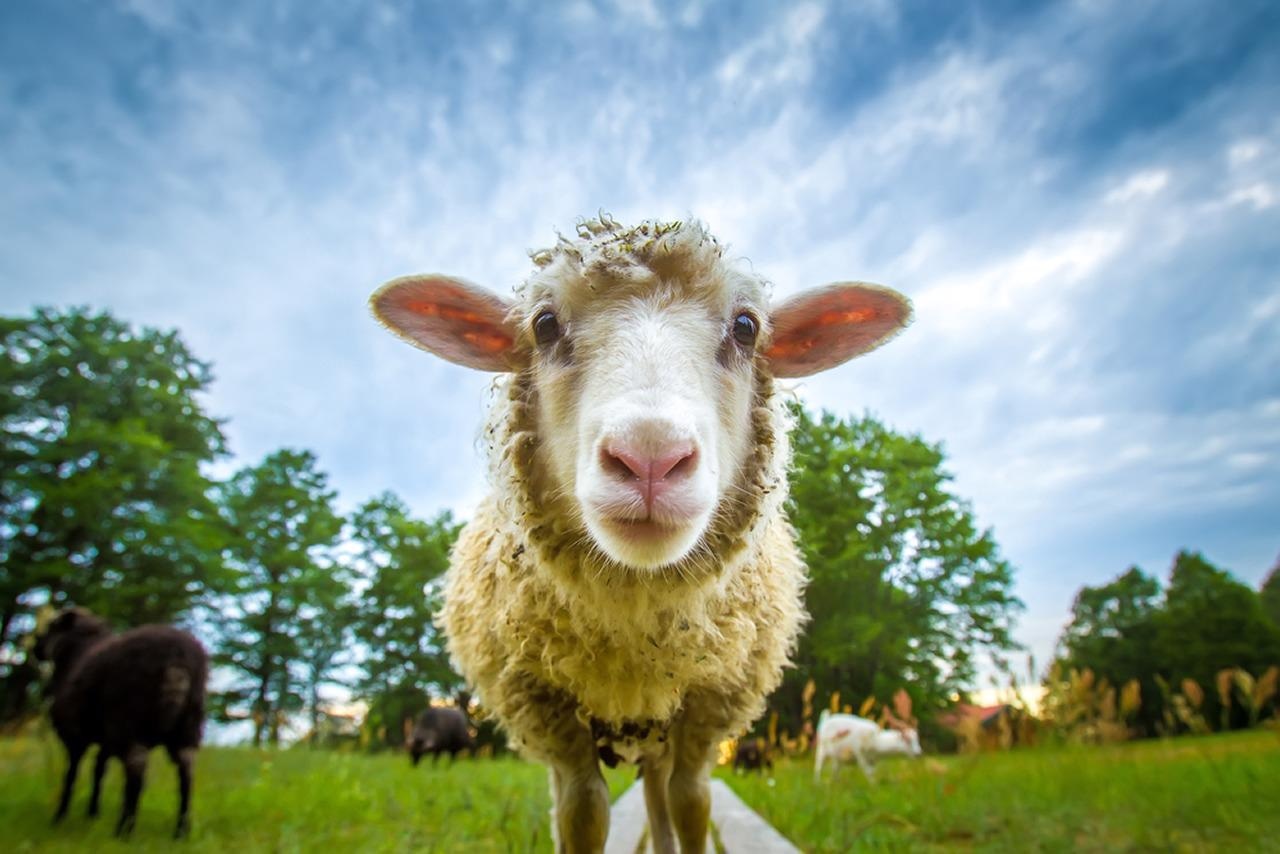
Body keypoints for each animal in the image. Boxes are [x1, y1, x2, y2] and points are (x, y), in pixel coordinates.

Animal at [33, 607, 208, 838]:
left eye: (53, 626)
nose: (36, 648)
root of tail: (176, 658)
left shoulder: (74, 736)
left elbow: (71, 774)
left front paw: (60, 816)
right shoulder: (105, 740)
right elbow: (99, 771)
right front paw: (92, 814)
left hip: (128, 720)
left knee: (136, 768)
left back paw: (124, 830)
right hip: (188, 725)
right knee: (186, 771)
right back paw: (181, 831)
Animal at [370, 216, 911, 854]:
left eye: (747, 327)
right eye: (544, 325)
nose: (650, 456)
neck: (635, 634)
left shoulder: (707, 708)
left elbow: (691, 804)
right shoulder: (550, 712)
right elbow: (582, 814)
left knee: (661, 797)